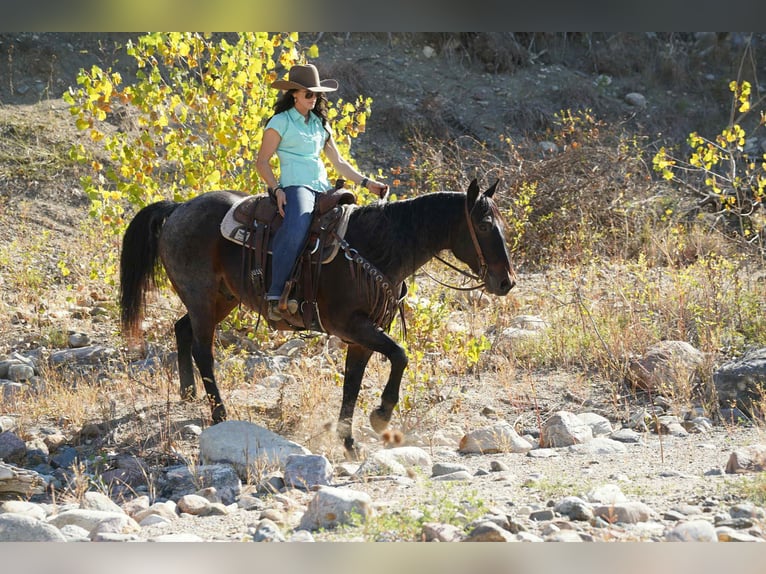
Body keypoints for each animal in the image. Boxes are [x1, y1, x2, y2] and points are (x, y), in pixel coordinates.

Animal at [119, 178, 516, 458]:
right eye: (483, 225)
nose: (506, 281)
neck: (376, 247)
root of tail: (178, 207)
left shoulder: (361, 337)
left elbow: (352, 386)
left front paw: (350, 442)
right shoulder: (352, 326)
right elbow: (400, 355)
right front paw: (381, 416)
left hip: (221, 298)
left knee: (182, 328)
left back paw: (187, 392)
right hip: (202, 297)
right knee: (204, 350)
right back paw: (219, 414)